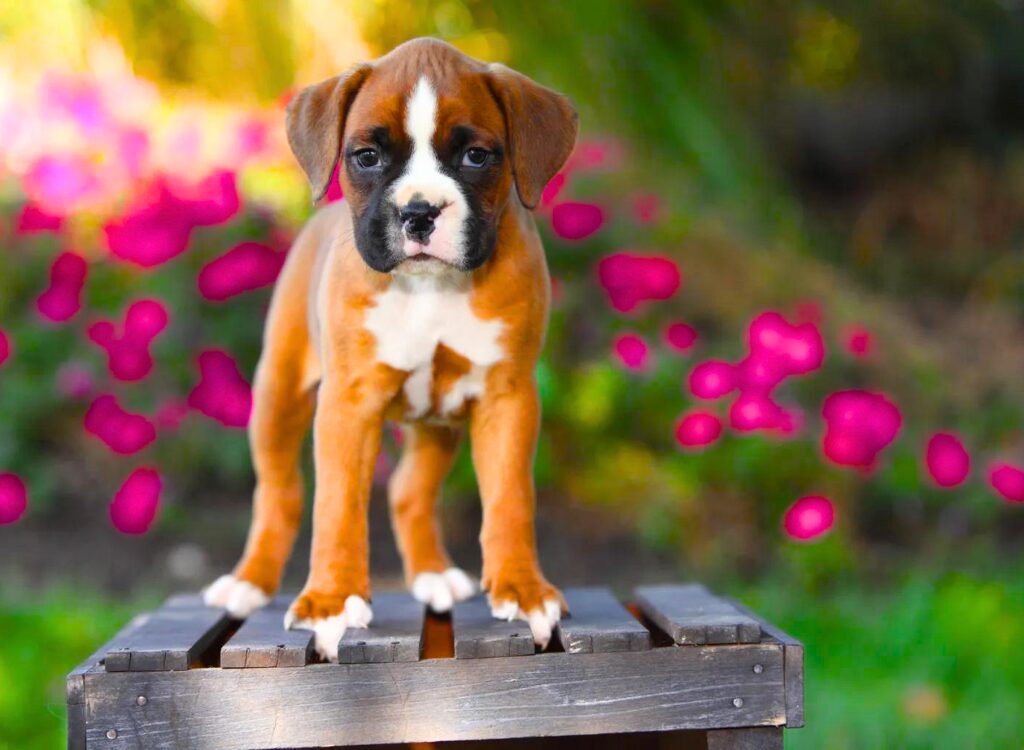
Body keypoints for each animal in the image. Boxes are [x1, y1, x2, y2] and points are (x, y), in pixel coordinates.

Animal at [203, 36, 581, 663]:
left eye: (476, 156)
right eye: (366, 156)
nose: (419, 211)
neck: (429, 288)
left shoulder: (508, 397)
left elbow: (510, 498)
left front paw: (524, 589)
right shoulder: (347, 404)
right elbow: (337, 504)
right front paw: (331, 601)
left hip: (438, 421)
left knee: (407, 489)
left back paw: (432, 575)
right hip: (278, 397)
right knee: (279, 493)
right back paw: (248, 582)